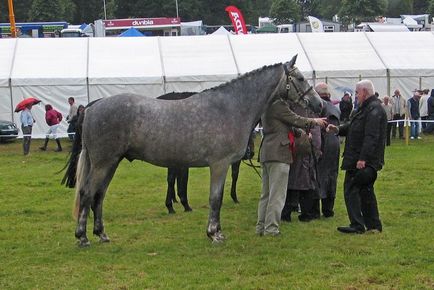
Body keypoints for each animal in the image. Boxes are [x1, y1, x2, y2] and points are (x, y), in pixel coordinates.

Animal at [70, 54, 322, 245]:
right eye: (300, 78)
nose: (318, 104)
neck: (232, 107)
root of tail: (91, 108)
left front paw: (216, 231)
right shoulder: (220, 164)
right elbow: (216, 198)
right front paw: (214, 234)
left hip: (111, 163)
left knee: (99, 196)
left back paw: (101, 234)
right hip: (103, 163)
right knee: (87, 194)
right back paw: (82, 237)